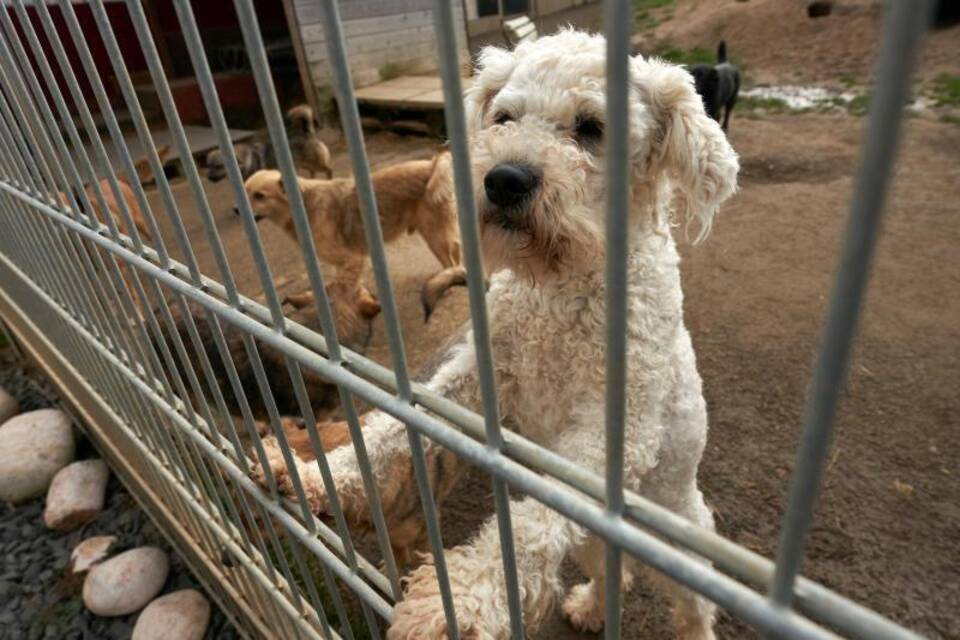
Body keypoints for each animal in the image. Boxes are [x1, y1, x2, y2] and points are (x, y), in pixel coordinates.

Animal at [244, 151, 468, 320]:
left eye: (259, 196)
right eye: (245, 192)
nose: (238, 210)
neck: (304, 206)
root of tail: (433, 164)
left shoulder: (351, 260)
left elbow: (337, 289)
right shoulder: (345, 265)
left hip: (434, 236)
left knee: (449, 260)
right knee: (456, 253)